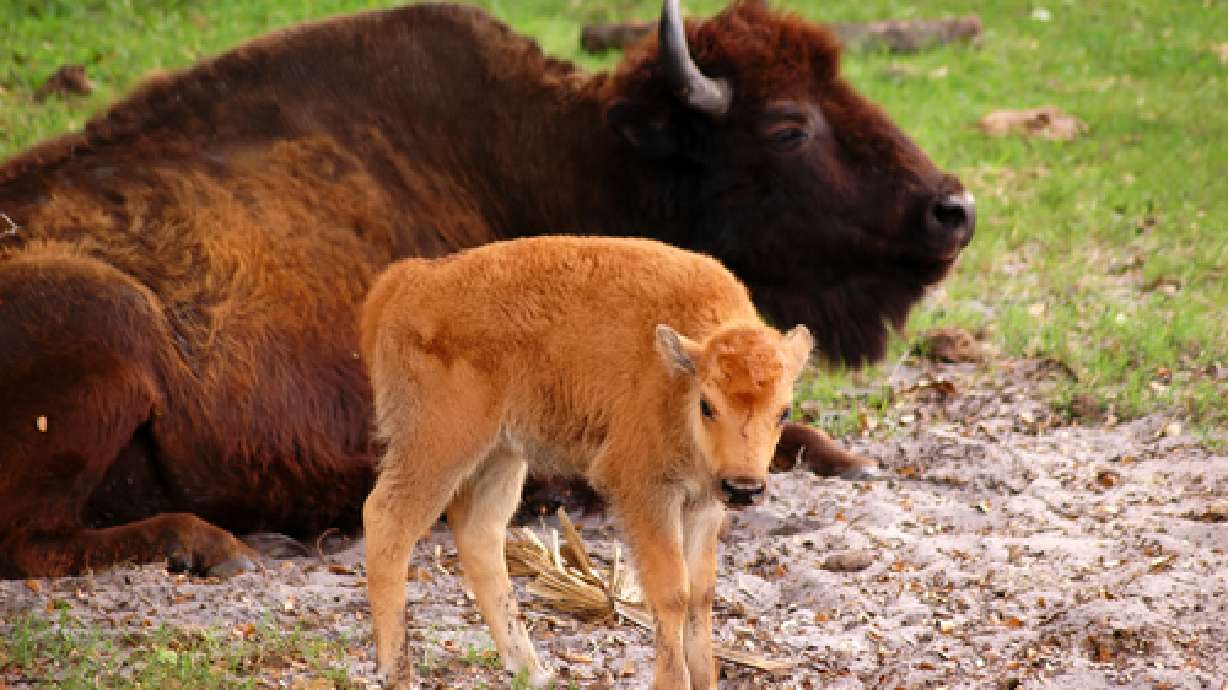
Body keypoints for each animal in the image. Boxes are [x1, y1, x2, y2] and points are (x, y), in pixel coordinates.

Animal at [0, 0, 973, 578]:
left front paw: (843, 453)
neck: (570, 159)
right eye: (786, 128)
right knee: (31, 539)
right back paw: (215, 545)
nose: (952, 209)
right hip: (106, 323)